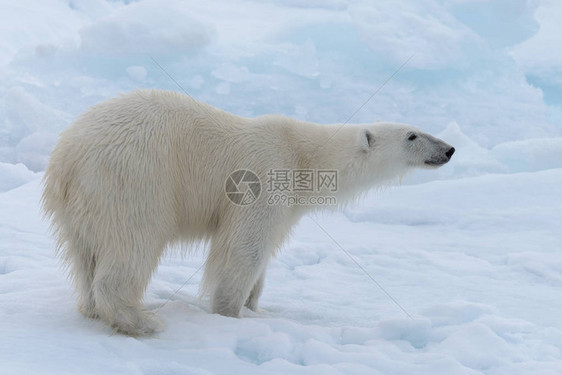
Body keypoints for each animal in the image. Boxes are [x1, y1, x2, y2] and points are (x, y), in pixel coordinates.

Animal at [41, 89, 452, 336]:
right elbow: (244, 250)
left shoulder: (289, 204)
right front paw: (231, 314)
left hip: (80, 206)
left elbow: (265, 254)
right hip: (134, 178)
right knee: (132, 243)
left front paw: (256, 307)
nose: (448, 149)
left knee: (84, 254)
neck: (303, 157)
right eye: (412, 135)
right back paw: (140, 320)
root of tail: (66, 157)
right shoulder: (263, 177)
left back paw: (93, 309)